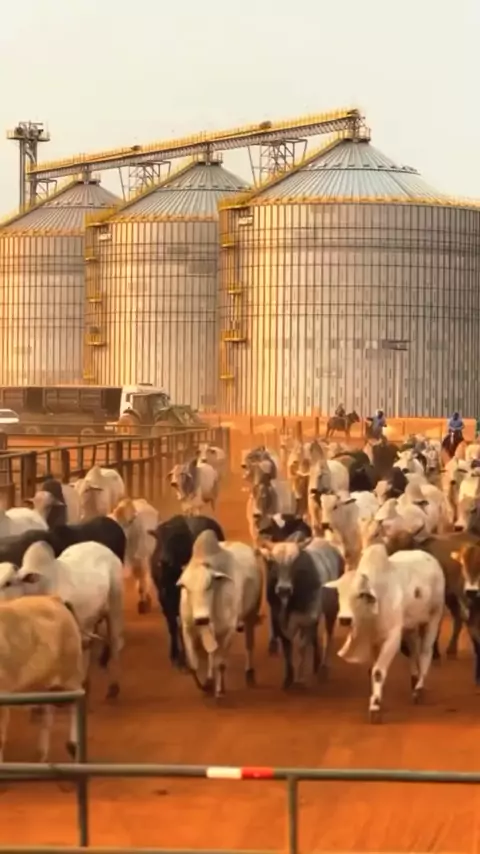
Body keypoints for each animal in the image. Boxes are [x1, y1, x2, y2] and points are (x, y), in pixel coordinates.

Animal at [149, 515, 225, 667]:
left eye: (175, 539)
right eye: (159, 539)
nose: (164, 560)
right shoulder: (164, 598)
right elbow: (173, 626)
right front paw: (174, 654)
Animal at [177, 530, 262, 697]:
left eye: (209, 585)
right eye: (185, 587)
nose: (201, 619)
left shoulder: (229, 631)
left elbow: (220, 663)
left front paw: (220, 689)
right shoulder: (187, 628)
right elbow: (194, 663)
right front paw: (205, 684)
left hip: (251, 614)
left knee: (249, 644)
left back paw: (249, 673)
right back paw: (210, 678)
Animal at [258, 538, 344, 688]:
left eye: (295, 562)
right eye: (273, 561)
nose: (284, 589)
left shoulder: (307, 619)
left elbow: (301, 648)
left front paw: (299, 678)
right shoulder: (280, 622)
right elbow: (287, 649)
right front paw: (288, 678)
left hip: (331, 609)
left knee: (328, 635)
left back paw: (323, 668)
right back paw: (316, 664)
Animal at [324, 543, 445, 722]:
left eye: (361, 594)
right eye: (339, 593)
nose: (345, 619)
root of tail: (432, 560)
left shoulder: (392, 638)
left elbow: (378, 672)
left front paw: (375, 707)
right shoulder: (375, 640)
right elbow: (373, 669)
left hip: (433, 618)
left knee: (425, 652)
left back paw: (419, 689)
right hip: (410, 627)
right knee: (413, 651)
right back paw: (414, 679)